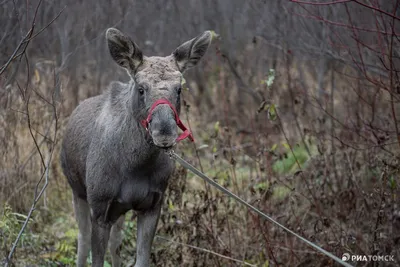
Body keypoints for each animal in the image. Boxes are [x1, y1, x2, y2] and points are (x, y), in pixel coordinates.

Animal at [61, 28, 211, 266]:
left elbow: (141, 259)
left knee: (116, 243)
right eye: (141, 89)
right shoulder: (100, 208)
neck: (135, 166)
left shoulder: (152, 205)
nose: (164, 132)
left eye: (179, 89)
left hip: (120, 210)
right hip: (78, 192)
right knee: (82, 241)